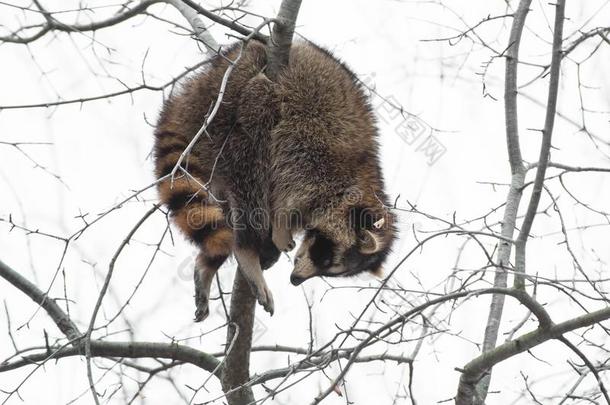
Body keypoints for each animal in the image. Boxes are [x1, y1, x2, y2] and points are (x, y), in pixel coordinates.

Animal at [153, 39, 394, 320]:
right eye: (324, 258)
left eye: (329, 270)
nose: (295, 281)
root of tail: (190, 94)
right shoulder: (315, 152)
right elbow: (288, 183)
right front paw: (281, 221)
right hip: (225, 102)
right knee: (252, 145)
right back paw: (246, 248)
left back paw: (209, 264)